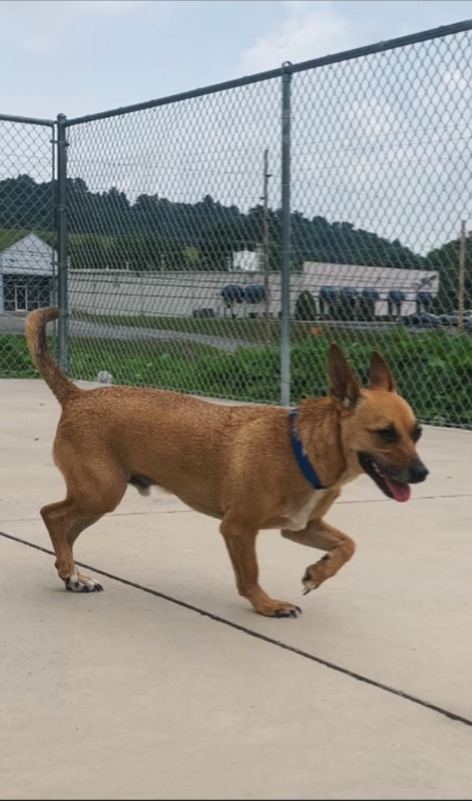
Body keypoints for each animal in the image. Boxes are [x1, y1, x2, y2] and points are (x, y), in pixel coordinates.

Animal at [24, 310, 428, 616]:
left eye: (417, 432)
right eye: (385, 434)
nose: (422, 473)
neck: (304, 450)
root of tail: (77, 395)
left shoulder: (300, 527)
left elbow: (348, 544)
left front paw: (318, 571)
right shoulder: (238, 529)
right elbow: (250, 574)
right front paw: (267, 605)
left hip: (99, 499)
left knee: (67, 531)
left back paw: (73, 575)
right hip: (101, 493)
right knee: (52, 515)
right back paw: (69, 569)